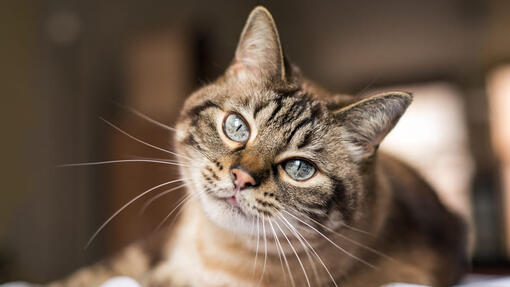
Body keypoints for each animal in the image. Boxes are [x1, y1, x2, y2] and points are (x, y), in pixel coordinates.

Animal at [49, 5, 468, 287]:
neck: (213, 253)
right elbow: (88, 276)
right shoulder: (150, 251)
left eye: (299, 169)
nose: (241, 177)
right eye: (237, 127)